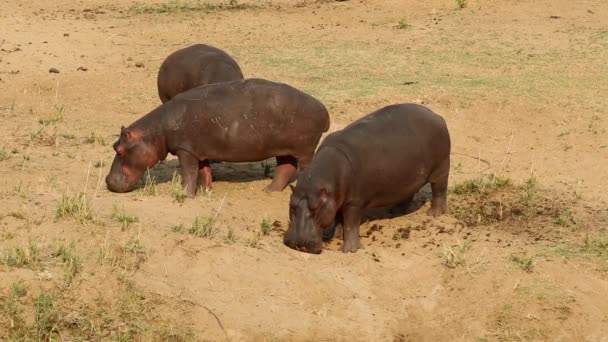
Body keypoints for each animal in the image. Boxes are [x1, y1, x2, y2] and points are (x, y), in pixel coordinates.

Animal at [107, 77, 330, 195]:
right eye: (113, 145)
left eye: (119, 149)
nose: (108, 181)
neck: (156, 131)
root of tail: (323, 109)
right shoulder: (199, 150)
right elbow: (204, 171)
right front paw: (205, 191)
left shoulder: (185, 150)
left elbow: (189, 172)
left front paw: (185, 194)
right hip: (283, 148)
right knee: (286, 168)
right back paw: (268, 191)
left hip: (305, 149)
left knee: (304, 168)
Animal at [282, 104, 448, 254]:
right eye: (291, 205)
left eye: (316, 207)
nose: (298, 243)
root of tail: (437, 116)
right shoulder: (337, 200)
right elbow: (339, 219)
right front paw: (336, 237)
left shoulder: (353, 202)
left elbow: (350, 224)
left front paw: (349, 250)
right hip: (409, 175)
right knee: (409, 192)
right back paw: (396, 211)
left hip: (441, 170)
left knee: (439, 190)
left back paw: (434, 214)